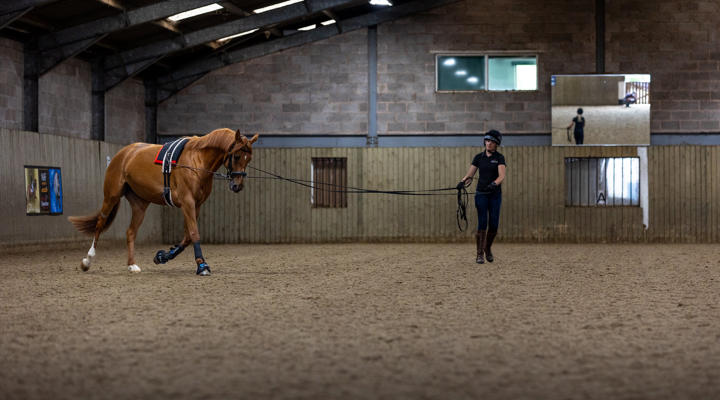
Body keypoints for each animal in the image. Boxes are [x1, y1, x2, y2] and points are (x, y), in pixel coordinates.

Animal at [69, 128, 258, 276]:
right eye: (237, 156)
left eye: (248, 159)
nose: (237, 186)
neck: (197, 160)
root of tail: (124, 153)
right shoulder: (187, 203)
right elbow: (194, 233)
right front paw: (202, 265)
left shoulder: (196, 205)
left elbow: (187, 238)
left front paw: (162, 256)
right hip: (111, 196)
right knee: (100, 224)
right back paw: (87, 261)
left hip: (140, 205)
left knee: (130, 232)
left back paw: (132, 265)